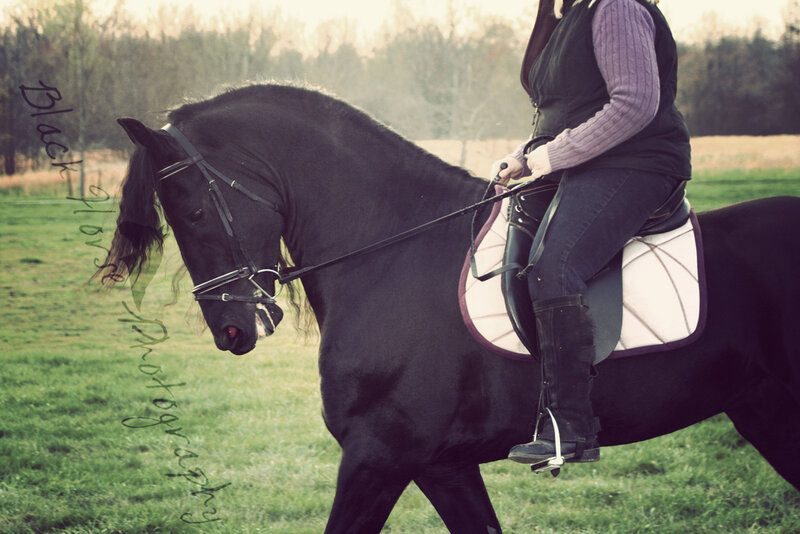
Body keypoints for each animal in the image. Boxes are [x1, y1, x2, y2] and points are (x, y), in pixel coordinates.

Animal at [102, 84, 800, 533]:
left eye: (193, 211)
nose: (232, 329)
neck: (389, 251)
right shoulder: (443, 466)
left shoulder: (379, 455)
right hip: (763, 410)